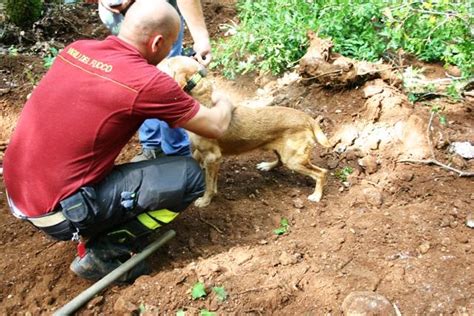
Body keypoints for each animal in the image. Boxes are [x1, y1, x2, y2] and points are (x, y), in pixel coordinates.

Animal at [157, 56, 332, 207]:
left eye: (166, 64)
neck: (203, 100)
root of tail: (307, 118)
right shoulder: (202, 152)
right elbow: (197, 164)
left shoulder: (213, 157)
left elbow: (209, 184)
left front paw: (205, 200)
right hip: (283, 151)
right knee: (281, 161)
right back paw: (267, 166)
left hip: (294, 160)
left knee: (321, 173)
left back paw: (316, 195)